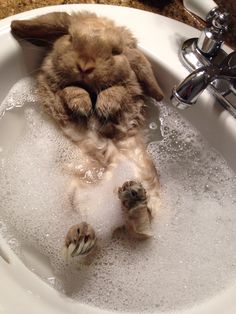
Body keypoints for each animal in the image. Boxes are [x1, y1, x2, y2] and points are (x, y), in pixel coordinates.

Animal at [10, 11, 162, 258]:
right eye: (70, 38)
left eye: (116, 52)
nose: (84, 66)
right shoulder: (54, 94)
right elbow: (67, 90)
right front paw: (81, 104)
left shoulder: (128, 111)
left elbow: (120, 91)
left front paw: (104, 106)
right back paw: (81, 238)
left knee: (141, 227)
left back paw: (132, 198)